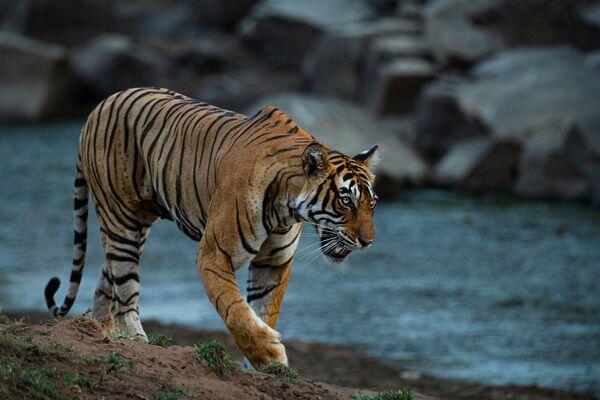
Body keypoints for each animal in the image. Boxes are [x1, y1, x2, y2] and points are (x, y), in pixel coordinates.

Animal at [44, 88, 378, 368]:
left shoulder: (274, 263)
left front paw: (262, 367)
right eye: (346, 201)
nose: (369, 242)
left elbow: (264, 310)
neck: (287, 208)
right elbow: (235, 309)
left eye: (372, 203)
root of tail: (99, 106)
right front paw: (269, 354)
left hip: (137, 226)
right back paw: (136, 340)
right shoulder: (214, 253)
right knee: (125, 289)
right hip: (121, 219)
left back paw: (99, 332)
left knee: (107, 276)